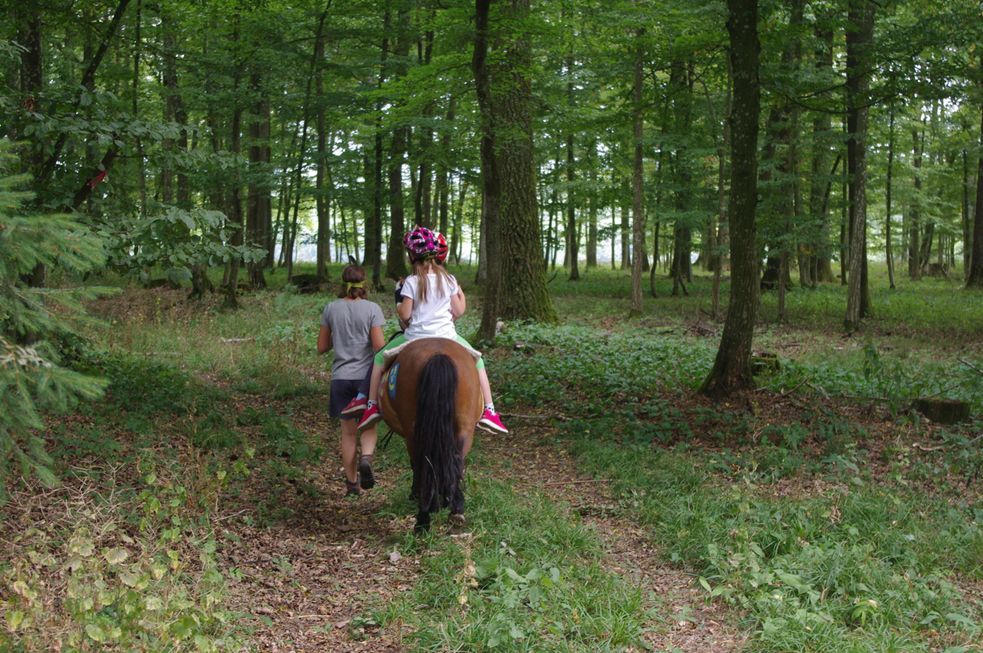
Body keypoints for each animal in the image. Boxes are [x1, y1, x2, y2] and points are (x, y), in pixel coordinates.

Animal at [378, 336, 482, 528]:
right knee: (456, 461)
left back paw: (423, 518)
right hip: (464, 427)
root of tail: (438, 355)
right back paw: (456, 511)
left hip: (414, 432)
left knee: (423, 463)